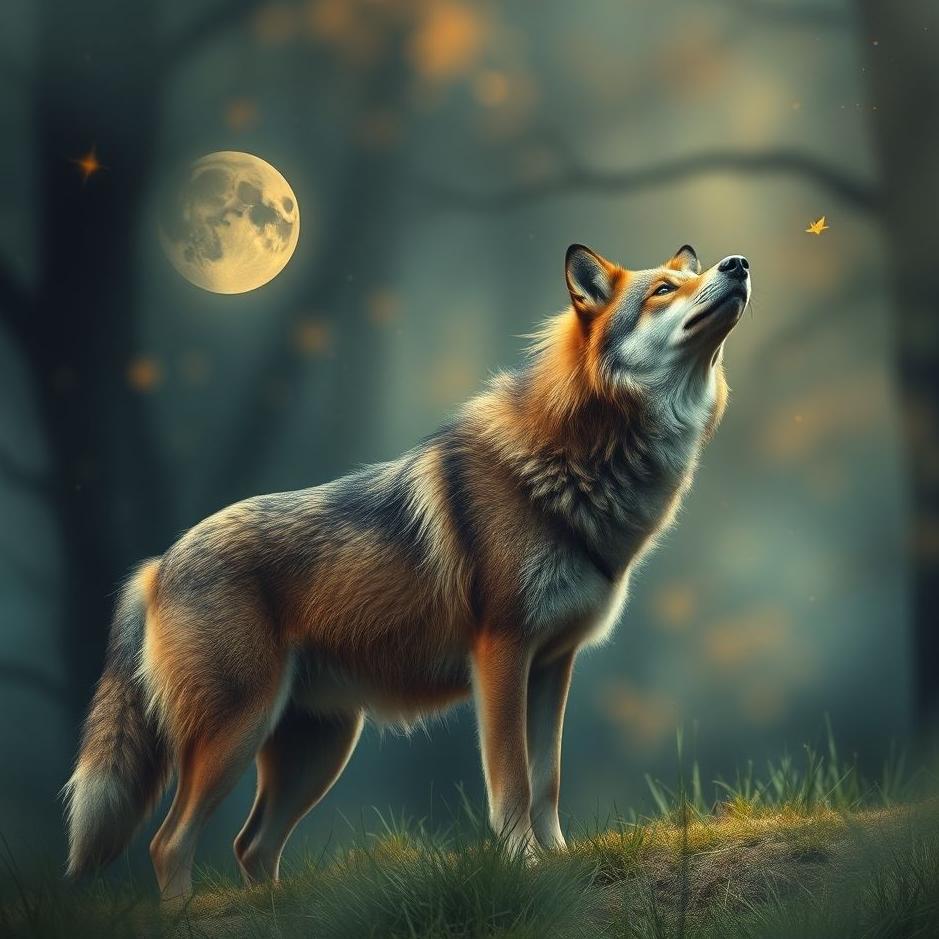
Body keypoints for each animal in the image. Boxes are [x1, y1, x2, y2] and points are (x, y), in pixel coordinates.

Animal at [64, 243, 750, 899]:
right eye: (662, 289)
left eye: (683, 277)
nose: (737, 265)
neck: (577, 464)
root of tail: (157, 565)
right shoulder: (501, 655)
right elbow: (513, 782)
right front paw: (525, 864)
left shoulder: (554, 665)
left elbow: (548, 780)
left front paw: (559, 857)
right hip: (237, 734)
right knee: (169, 844)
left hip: (319, 751)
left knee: (249, 847)